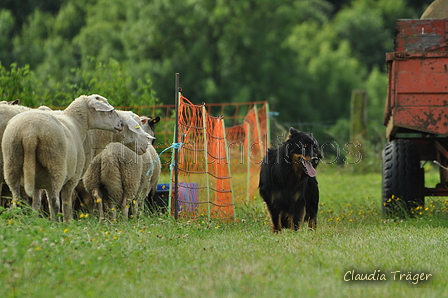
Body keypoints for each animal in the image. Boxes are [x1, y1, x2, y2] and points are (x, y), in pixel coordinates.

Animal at [2, 94, 124, 222]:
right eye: (109, 111)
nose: (121, 125)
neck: (77, 124)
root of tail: (30, 133)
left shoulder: (40, 181)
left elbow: (36, 203)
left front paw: (35, 220)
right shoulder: (72, 178)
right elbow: (66, 203)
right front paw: (68, 221)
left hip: (12, 161)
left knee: (17, 201)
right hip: (56, 164)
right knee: (55, 202)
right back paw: (57, 223)